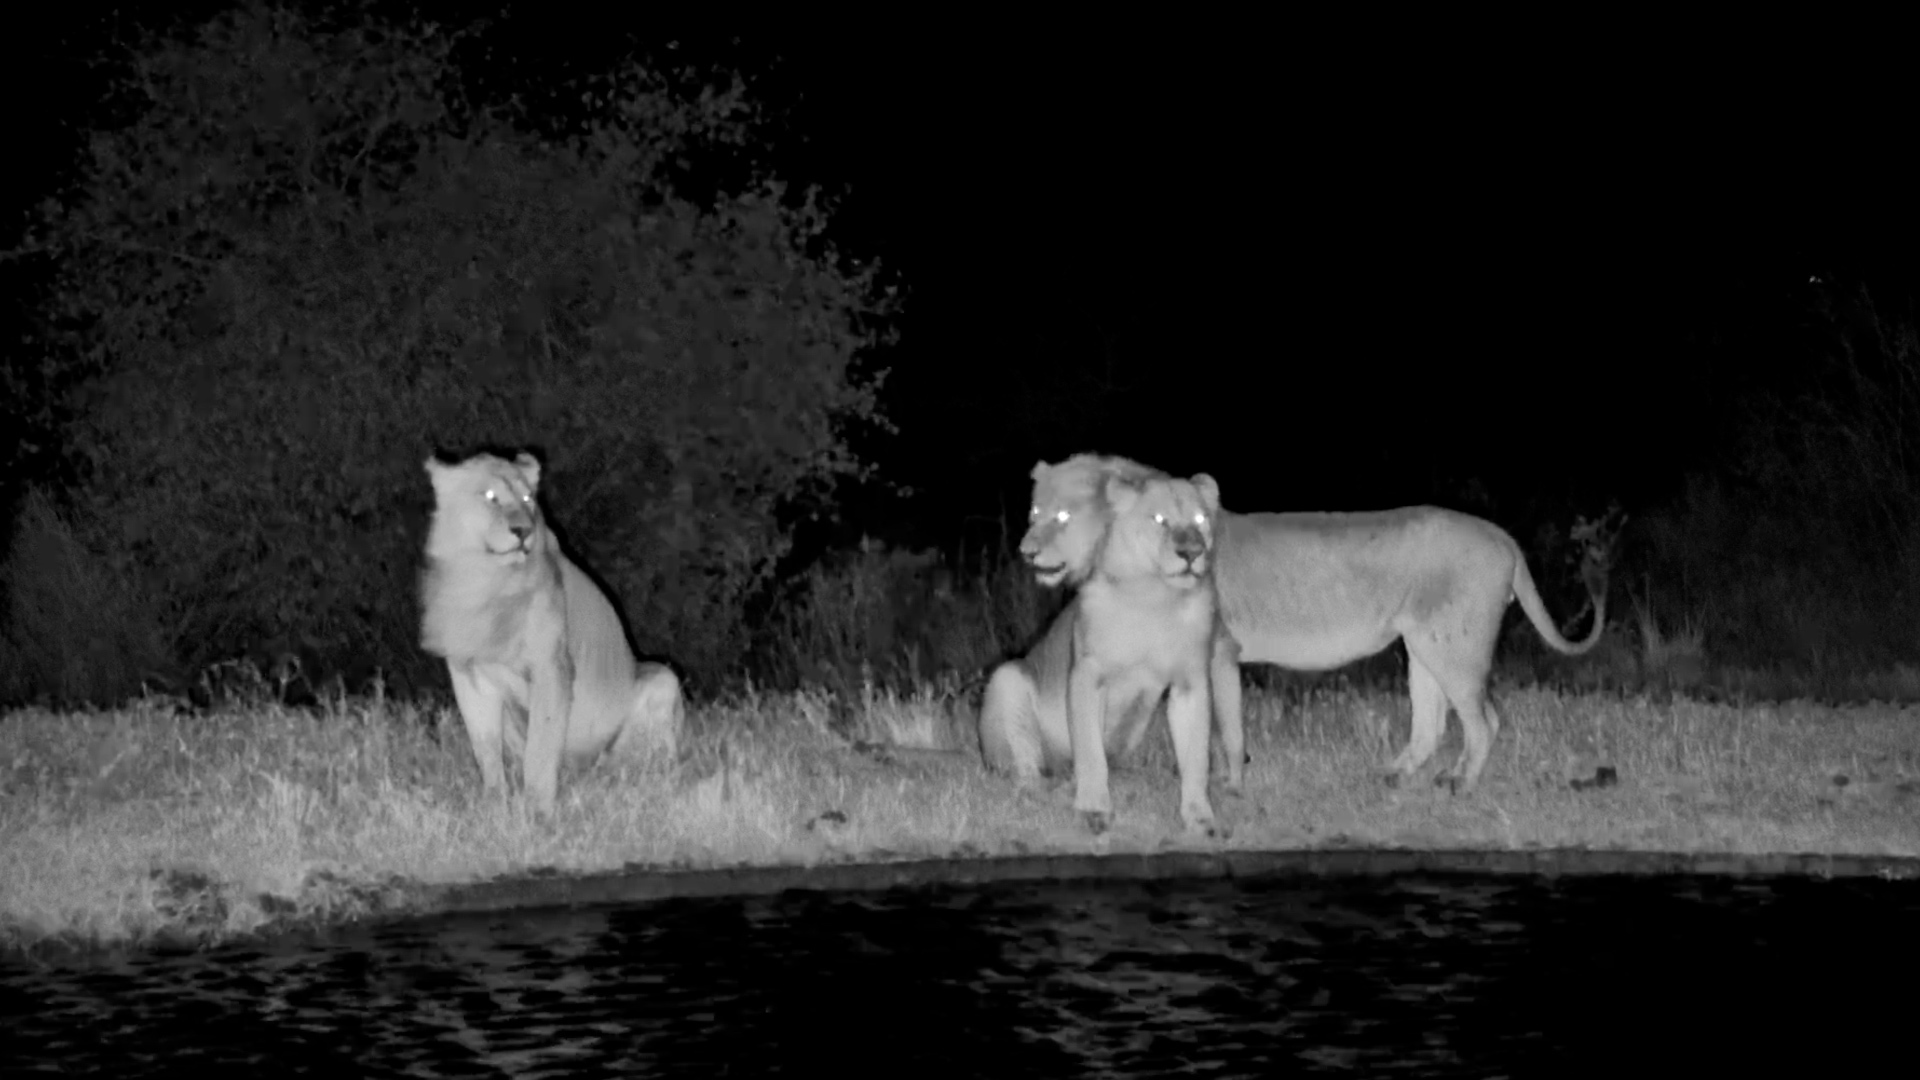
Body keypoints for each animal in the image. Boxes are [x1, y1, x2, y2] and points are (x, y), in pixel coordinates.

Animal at [420, 451, 684, 813]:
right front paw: (494, 804)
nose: (522, 531)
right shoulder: (468, 675)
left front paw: (538, 810)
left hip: (661, 680)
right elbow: (485, 749)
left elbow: (542, 748)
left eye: (528, 499)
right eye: (490, 496)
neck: (483, 579)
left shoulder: (551, 667)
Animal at [979, 462, 1226, 836]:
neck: (1157, 597)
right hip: (1007, 679)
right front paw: (1093, 810)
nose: (1191, 553)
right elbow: (1090, 752)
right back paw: (1043, 791)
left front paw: (1200, 818)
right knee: (1026, 770)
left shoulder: (1191, 683)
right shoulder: (1087, 674)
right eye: (1160, 519)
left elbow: (1196, 757)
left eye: (1200, 520)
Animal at [1026, 455, 1607, 794]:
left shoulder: (1217, 651)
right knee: (1432, 722)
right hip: (1422, 645)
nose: (1026, 549)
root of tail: (1505, 538)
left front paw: (1228, 785)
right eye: (1034, 511)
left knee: (1485, 720)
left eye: (1062, 516)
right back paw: (1395, 775)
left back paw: (1460, 783)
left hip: (1453, 646)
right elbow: (1220, 724)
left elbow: (1225, 725)